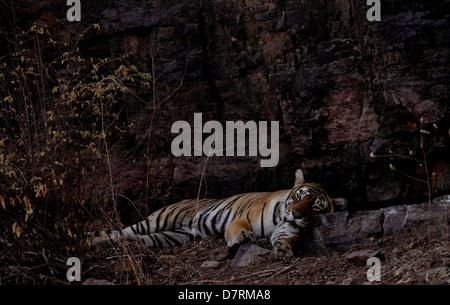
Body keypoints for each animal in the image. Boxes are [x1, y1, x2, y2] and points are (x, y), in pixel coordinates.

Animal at [90, 169, 344, 256]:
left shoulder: (287, 229)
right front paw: (241, 239)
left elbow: (285, 239)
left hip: (171, 236)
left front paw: (282, 249)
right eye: (300, 197)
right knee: (119, 231)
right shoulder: (241, 218)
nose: (297, 215)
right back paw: (92, 243)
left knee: (132, 238)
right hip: (156, 221)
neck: (283, 216)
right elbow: (240, 230)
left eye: (314, 207)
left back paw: (125, 246)